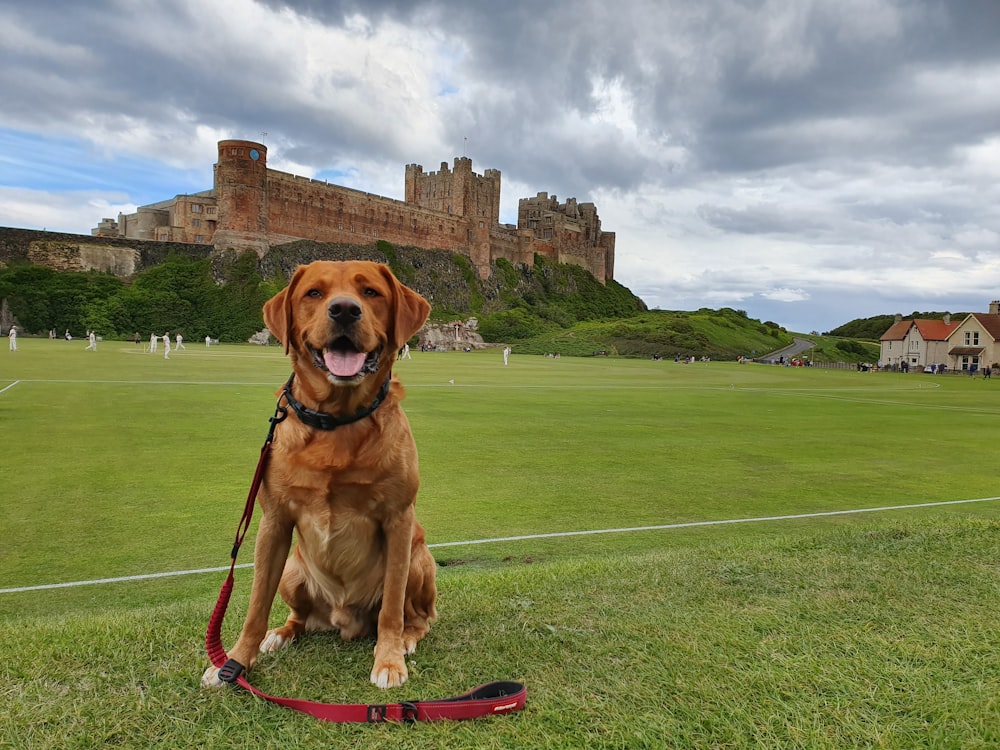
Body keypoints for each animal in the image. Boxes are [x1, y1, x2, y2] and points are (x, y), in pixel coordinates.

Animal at [201, 260, 436, 692]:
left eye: (371, 292)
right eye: (313, 293)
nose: (344, 310)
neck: (338, 421)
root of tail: (342, 620)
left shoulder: (399, 519)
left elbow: (391, 608)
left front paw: (389, 659)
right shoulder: (274, 522)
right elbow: (256, 606)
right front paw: (235, 661)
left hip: (417, 556)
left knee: (419, 615)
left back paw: (407, 637)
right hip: (292, 570)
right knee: (301, 617)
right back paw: (282, 633)